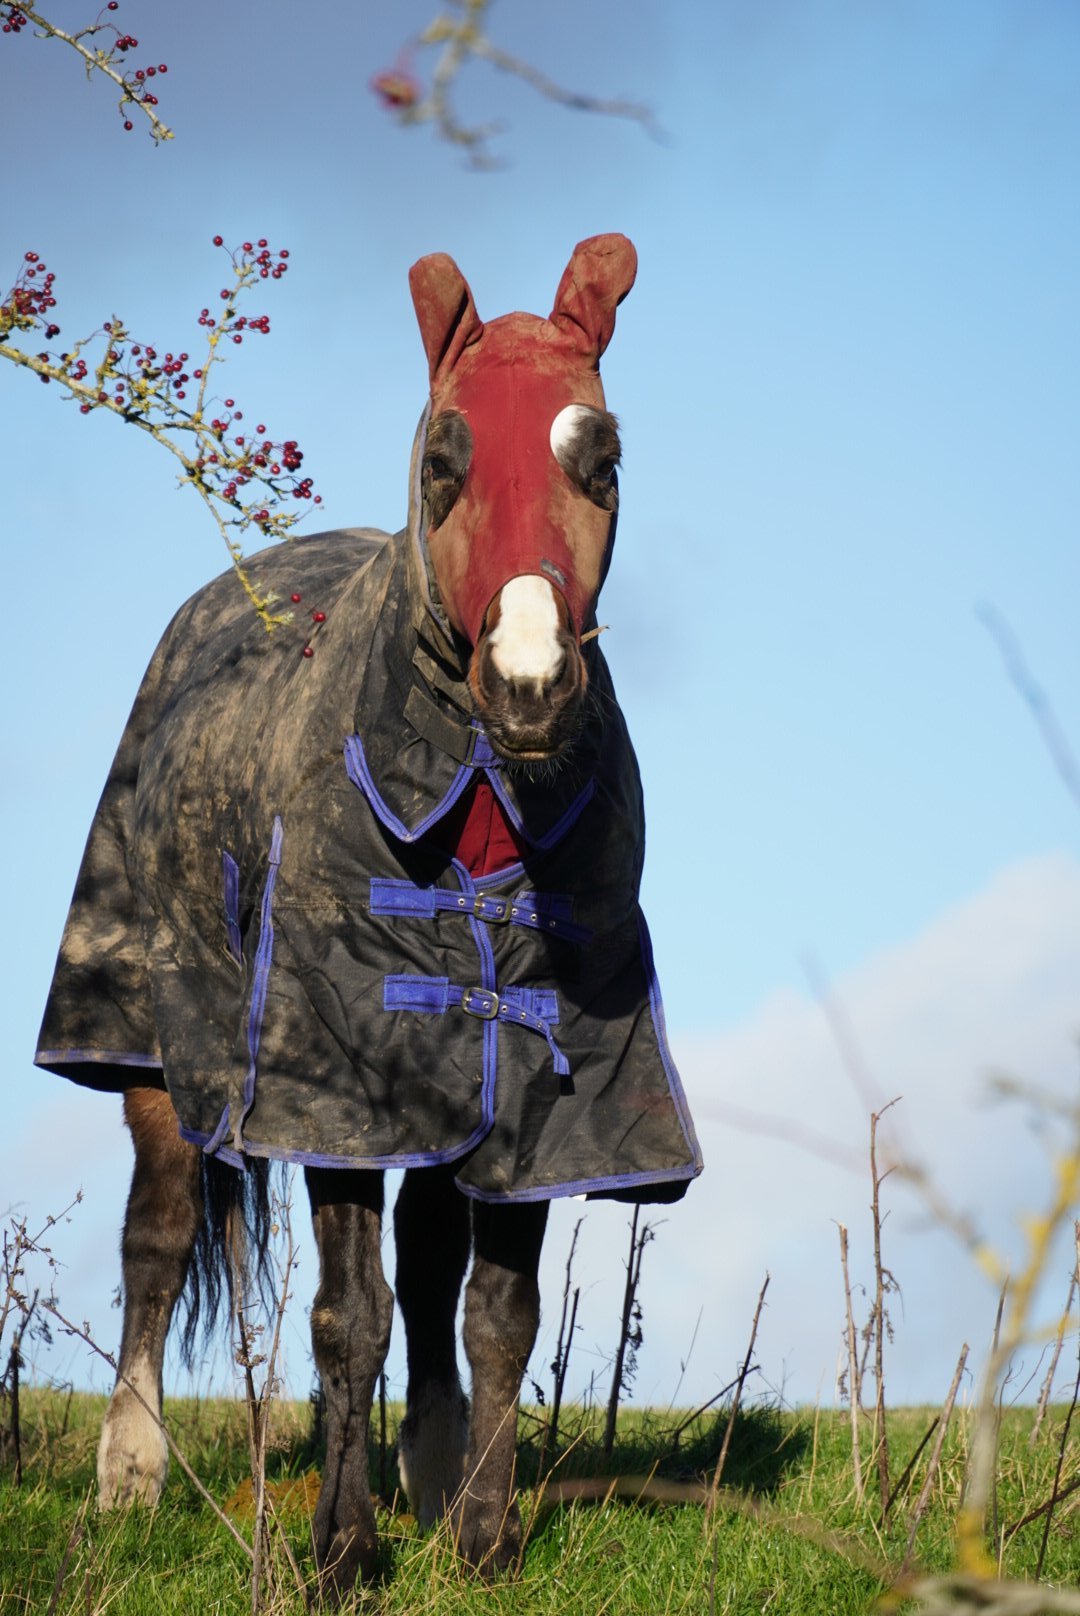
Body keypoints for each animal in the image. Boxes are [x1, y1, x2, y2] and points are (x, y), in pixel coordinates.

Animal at [35, 234, 702, 1594]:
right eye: (444, 457)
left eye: (600, 453)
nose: (530, 683)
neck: (480, 812)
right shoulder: (332, 1075)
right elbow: (350, 1315)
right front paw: (341, 1554)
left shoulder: (531, 1074)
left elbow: (495, 1312)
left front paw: (486, 1539)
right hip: (148, 1044)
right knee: (157, 1231)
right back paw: (129, 1475)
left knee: (433, 1254)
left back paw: (434, 1475)